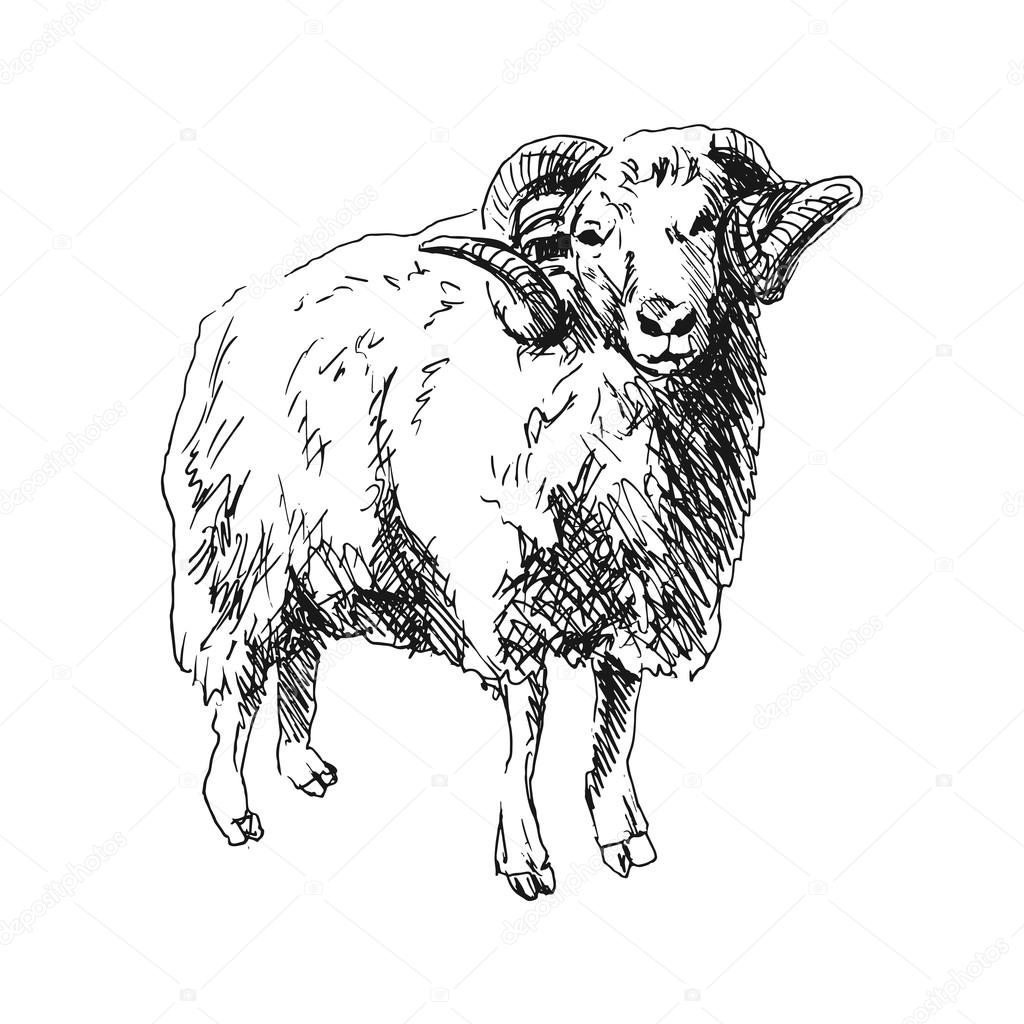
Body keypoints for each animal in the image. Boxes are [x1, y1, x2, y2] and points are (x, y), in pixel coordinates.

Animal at [163, 125, 860, 900]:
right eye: (591, 234)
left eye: (708, 221)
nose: (666, 321)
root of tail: (235, 314)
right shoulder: (508, 608)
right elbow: (525, 741)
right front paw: (524, 858)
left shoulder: (633, 600)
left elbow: (617, 729)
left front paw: (620, 834)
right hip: (242, 543)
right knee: (235, 676)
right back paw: (232, 807)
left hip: (318, 557)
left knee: (296, 653)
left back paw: (302, 766)